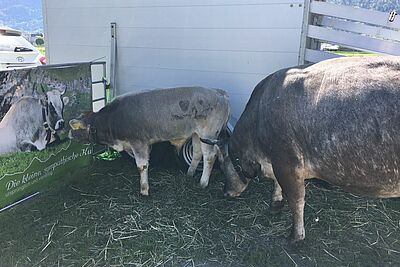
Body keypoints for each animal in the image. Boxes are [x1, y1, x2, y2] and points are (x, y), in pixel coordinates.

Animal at [70, 87, 230, 196]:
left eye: (74, 127)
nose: (69, 136)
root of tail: (218, 92)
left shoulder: (138, 143)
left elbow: (142, 166)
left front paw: (144, 190)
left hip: (208, 135)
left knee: (209, 157)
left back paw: (203, 182)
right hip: (196, 135)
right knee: (197, 153)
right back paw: (190, 174)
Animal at [217, 56, 400, 243]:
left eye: (223, 168)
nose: (225, 192)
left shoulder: (287, 162)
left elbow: (296, 200)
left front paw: (295, 236)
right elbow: (278, 184)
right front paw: (276, 202)